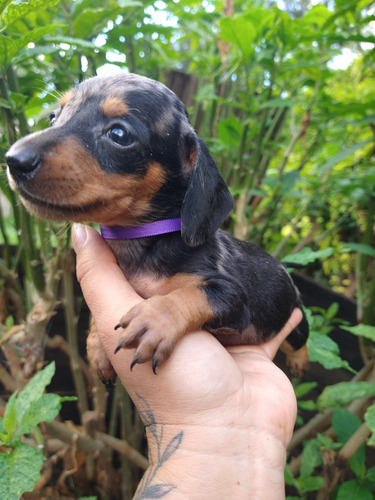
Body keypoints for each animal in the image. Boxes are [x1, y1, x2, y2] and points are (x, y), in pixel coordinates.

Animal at [5, 73, 310, 378]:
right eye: (53, 117)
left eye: (119, 134)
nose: (13, 159)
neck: (145, 241)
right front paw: (96, 344)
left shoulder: (232, 298)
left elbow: (193, 294)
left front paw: (155, 319)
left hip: (295, 321)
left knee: (299, 340)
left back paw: (299, 361)